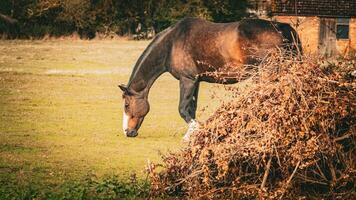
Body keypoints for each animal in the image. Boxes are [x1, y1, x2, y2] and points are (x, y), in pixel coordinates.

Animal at [119, 17, 300, 138]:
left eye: (127, 105)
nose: (127, 132)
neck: (172, 44)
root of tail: (281, 27)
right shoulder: (196, 81)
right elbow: (191, 108)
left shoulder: (187, 80)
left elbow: (182, 109)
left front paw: (194, 132)